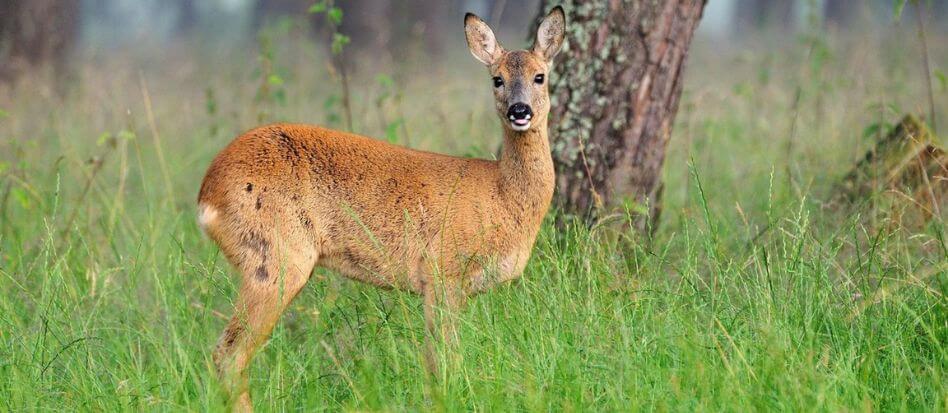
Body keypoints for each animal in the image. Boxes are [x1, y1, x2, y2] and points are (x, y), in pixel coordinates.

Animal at [194, 5, 564, 408]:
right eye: (497, 79)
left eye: (540, 76)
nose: (519, 110)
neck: (503, 196)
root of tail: (207, 192)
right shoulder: (441, 273)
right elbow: (442, 360)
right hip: (276, 259)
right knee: (229, 353)